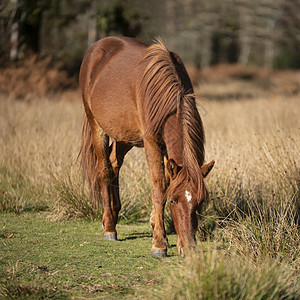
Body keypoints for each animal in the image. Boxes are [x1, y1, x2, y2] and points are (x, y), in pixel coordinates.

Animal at [78, 36, 214, 258]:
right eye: (173, 201)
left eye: (200, 202)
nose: (189, 247)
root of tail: (99, 46)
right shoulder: (152, 142)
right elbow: (159, 187)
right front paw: (159, 243)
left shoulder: (166, 148)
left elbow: (166, 182)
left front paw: (163, 234)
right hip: (96, 125)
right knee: (105, 171)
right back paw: (109, 228)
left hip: (125, 135)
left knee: (114, 164)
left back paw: (113, 215)